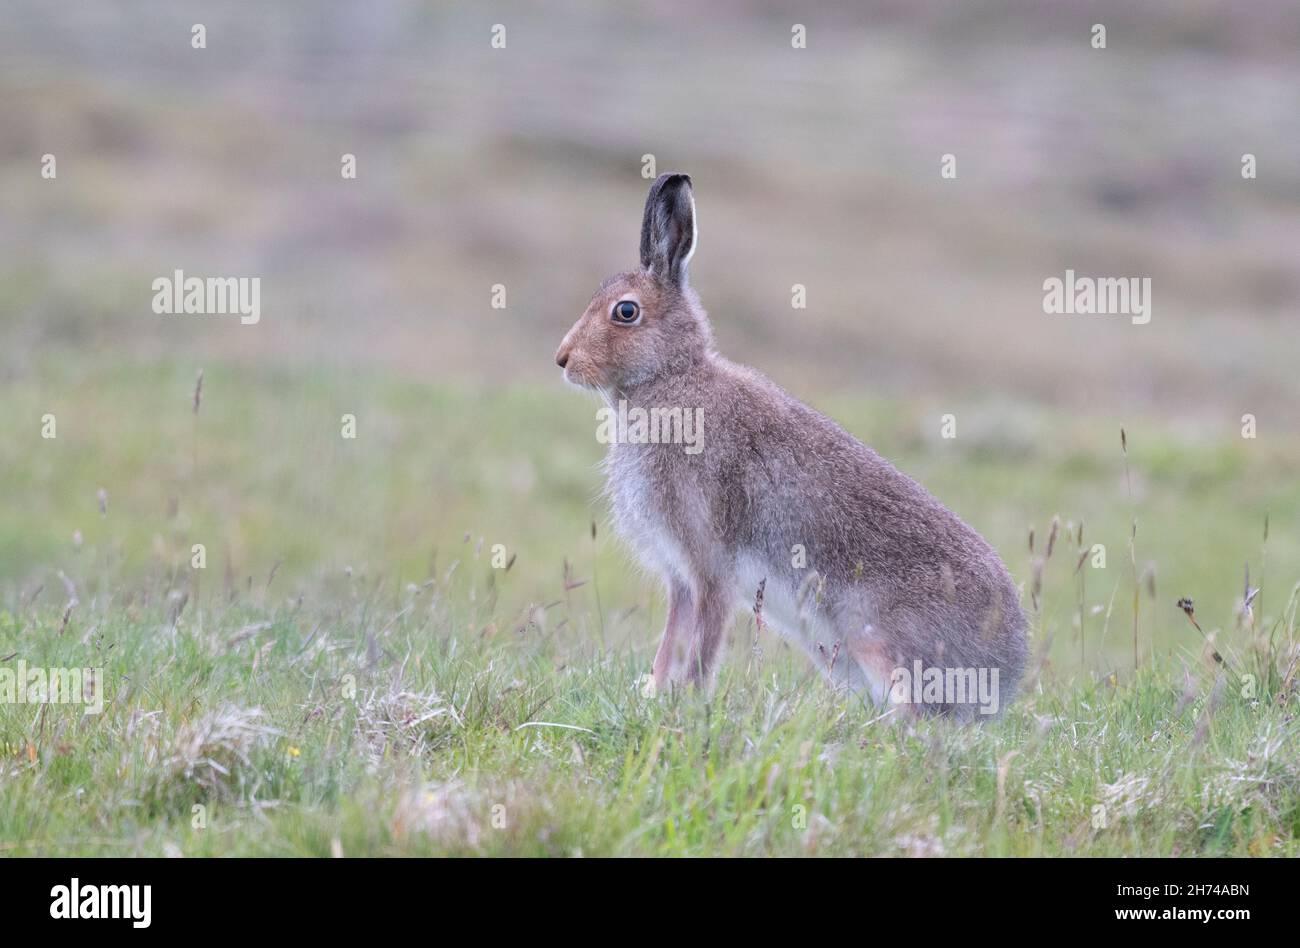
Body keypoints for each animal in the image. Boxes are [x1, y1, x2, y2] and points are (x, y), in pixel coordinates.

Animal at [555, 173, 1027, 719]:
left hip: (877, 639)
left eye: (626, 312)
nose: (562, 359)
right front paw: (656, 692)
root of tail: (1004, 675)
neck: (671, 379)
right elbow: (670, 641)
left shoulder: (711, 565)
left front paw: (689, 703)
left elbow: (702, 644)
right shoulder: (680, 577)